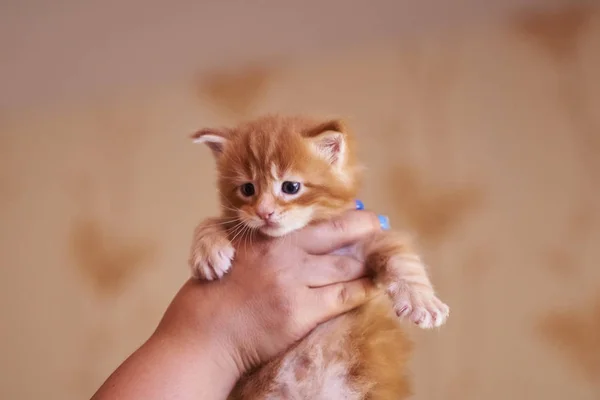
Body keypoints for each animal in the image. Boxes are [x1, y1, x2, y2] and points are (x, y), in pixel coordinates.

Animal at [190, 114, 448, 398]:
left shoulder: (365, 240)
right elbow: (212, 221)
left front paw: (422, 301)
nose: (264, 212)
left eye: (291, 187)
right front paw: (207, 250)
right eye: (247, 189)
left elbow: (400, 256)